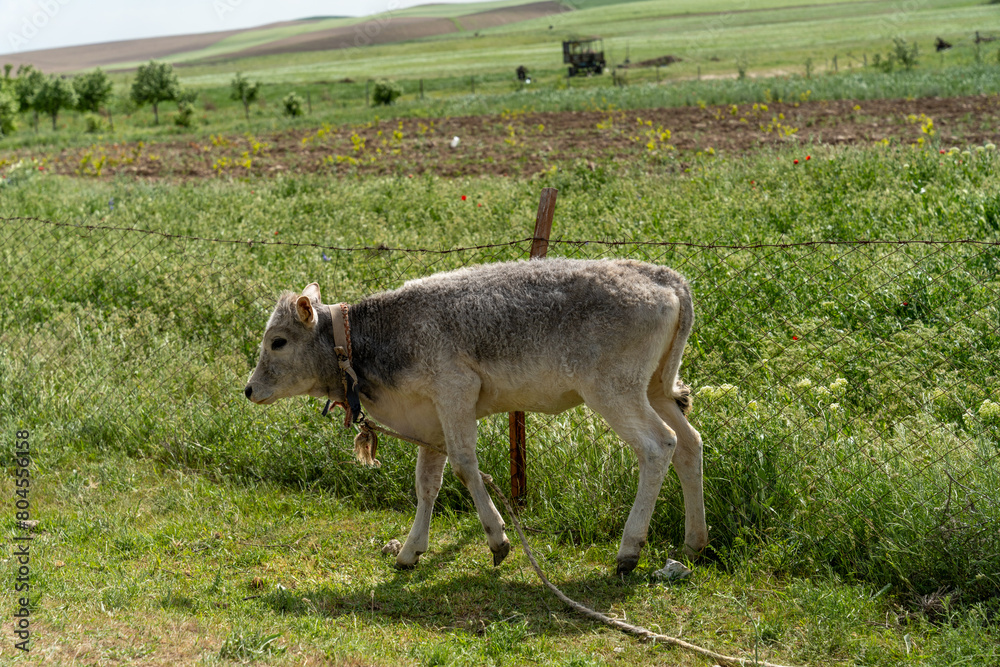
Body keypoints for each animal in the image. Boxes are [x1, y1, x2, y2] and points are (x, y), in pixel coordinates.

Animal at [245, 258, 708, 574]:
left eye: (278, 341)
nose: (248, 389)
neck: (369, 343)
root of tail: (664, 277)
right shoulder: (430, 416)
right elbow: (426, 484)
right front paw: (411, 550)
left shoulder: (455, 391)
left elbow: (465, 466)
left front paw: (497, 538)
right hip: (655, 389)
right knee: (689, 444)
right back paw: (694, 543)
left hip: (613, 390)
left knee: (658, 446)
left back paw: (630, 549)